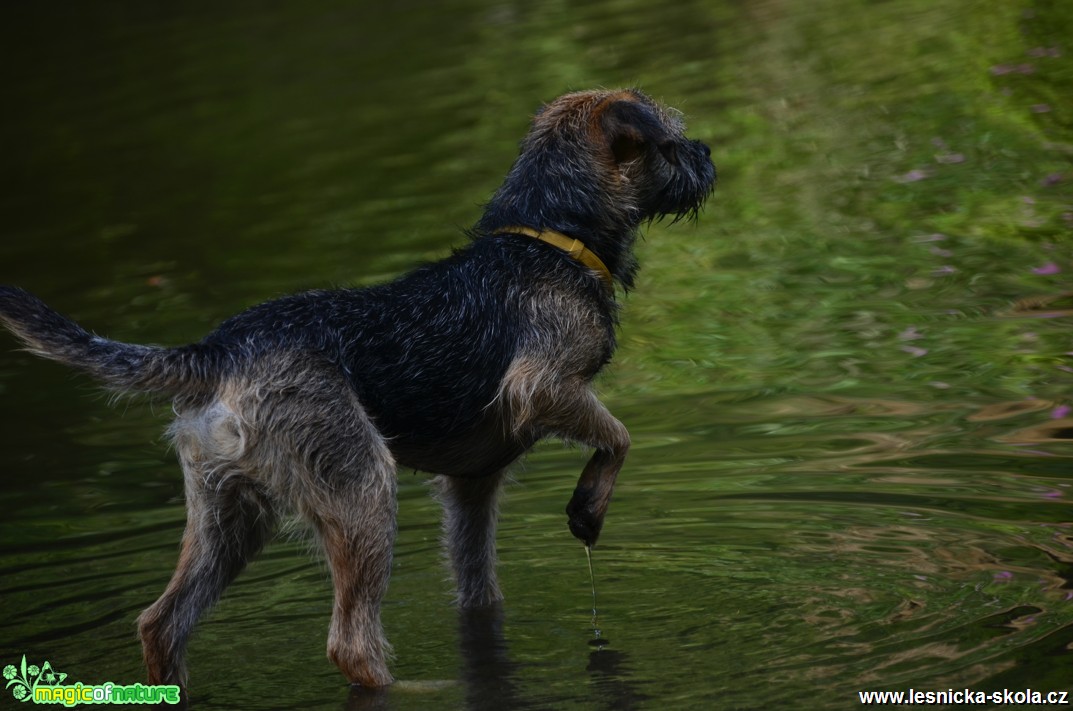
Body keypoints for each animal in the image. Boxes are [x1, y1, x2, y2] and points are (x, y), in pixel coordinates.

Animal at [2, 86, 721, 686]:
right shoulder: (540, 386)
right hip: (363, 487)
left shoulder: (471, 487)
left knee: (162, 622)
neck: (549, 238)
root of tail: (221, 350)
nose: (710, 154)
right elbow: (618, 435)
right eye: (672, 142)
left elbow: (479, 591)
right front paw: (587, 508)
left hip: (229, 514)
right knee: (350, 643)